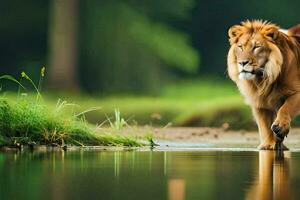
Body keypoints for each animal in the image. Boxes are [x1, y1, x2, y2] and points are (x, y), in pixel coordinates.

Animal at [227, 20, 300, 150]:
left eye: (257, 47)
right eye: (240, 47)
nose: (242, 63)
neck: (263, 80)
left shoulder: (296, 92)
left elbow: (286, 108)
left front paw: (280, 127)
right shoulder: (260, 102)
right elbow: (264, 125)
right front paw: (268, 145)